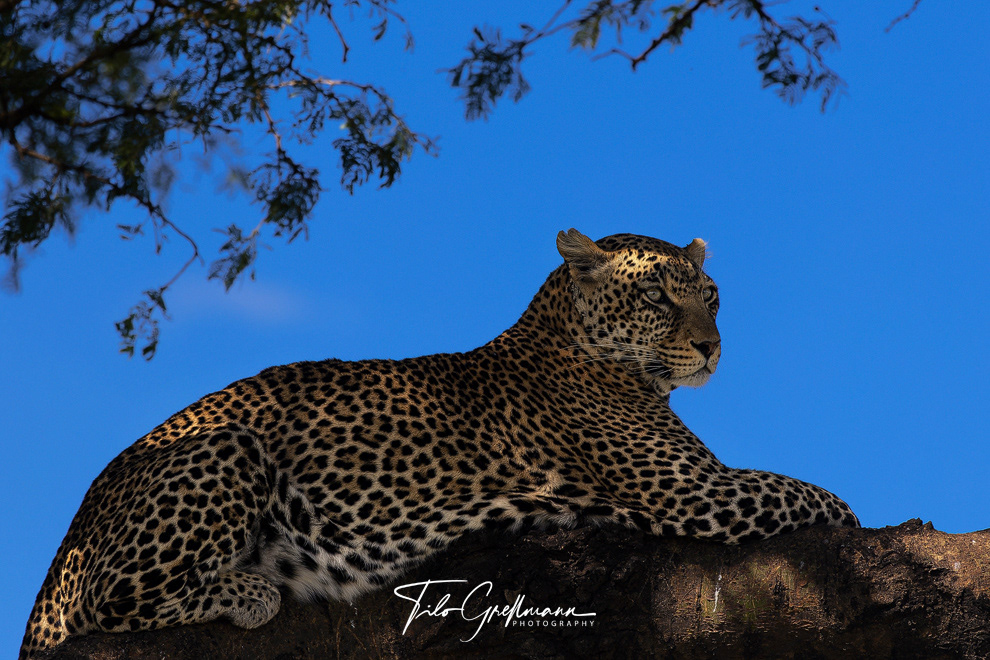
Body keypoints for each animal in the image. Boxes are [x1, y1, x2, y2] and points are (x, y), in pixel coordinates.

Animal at [21, 229, 858, 658]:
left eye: (713, 296)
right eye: (657, 295)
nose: (713, 347)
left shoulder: (698, 484)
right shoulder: (689, 490)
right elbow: (813, 493)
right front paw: (854, 527)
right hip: (227, 449)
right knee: (107, 601)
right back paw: (248, 590)